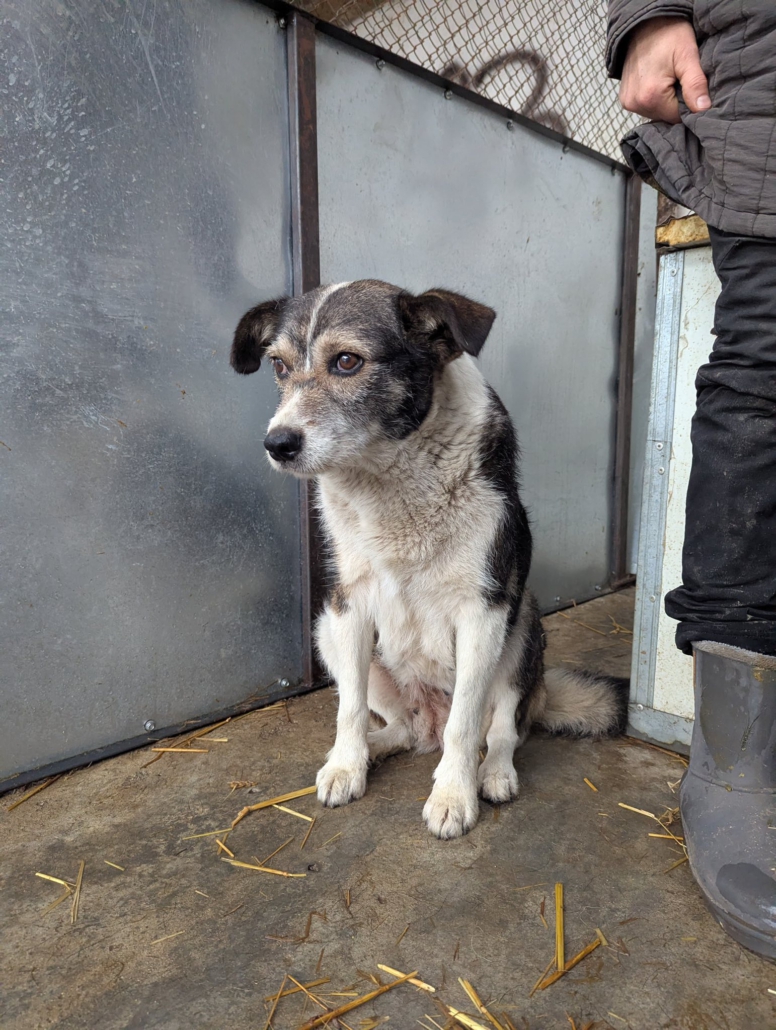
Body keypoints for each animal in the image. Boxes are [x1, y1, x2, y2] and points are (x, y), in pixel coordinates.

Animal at [231, 280, 628, 839]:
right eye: (279, 366)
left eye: (347, 361)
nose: (277, 444)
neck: (391, 476)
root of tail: (428, 723)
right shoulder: (347, 605)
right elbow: (348, 710)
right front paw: (347, 765)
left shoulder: (482, 611)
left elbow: (467, 722)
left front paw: (453, 796)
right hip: (329, 635)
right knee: (398, 727)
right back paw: (367, 751)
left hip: (523, 626)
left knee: (501, 730)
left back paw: (493, 773)